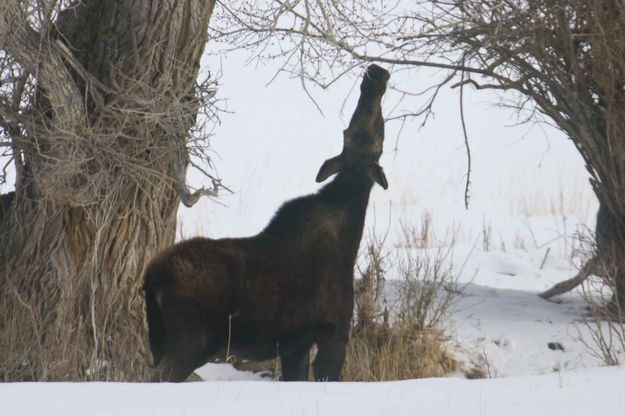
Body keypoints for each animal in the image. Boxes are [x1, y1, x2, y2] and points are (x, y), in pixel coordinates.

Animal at [145, 64, 390, 380]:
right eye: (376, 132)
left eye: (364, 130)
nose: (375, 74)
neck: (351, 231)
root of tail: (152, 278)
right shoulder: (335, 332)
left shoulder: (296, 345)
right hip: (193, 340)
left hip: (158, 337)